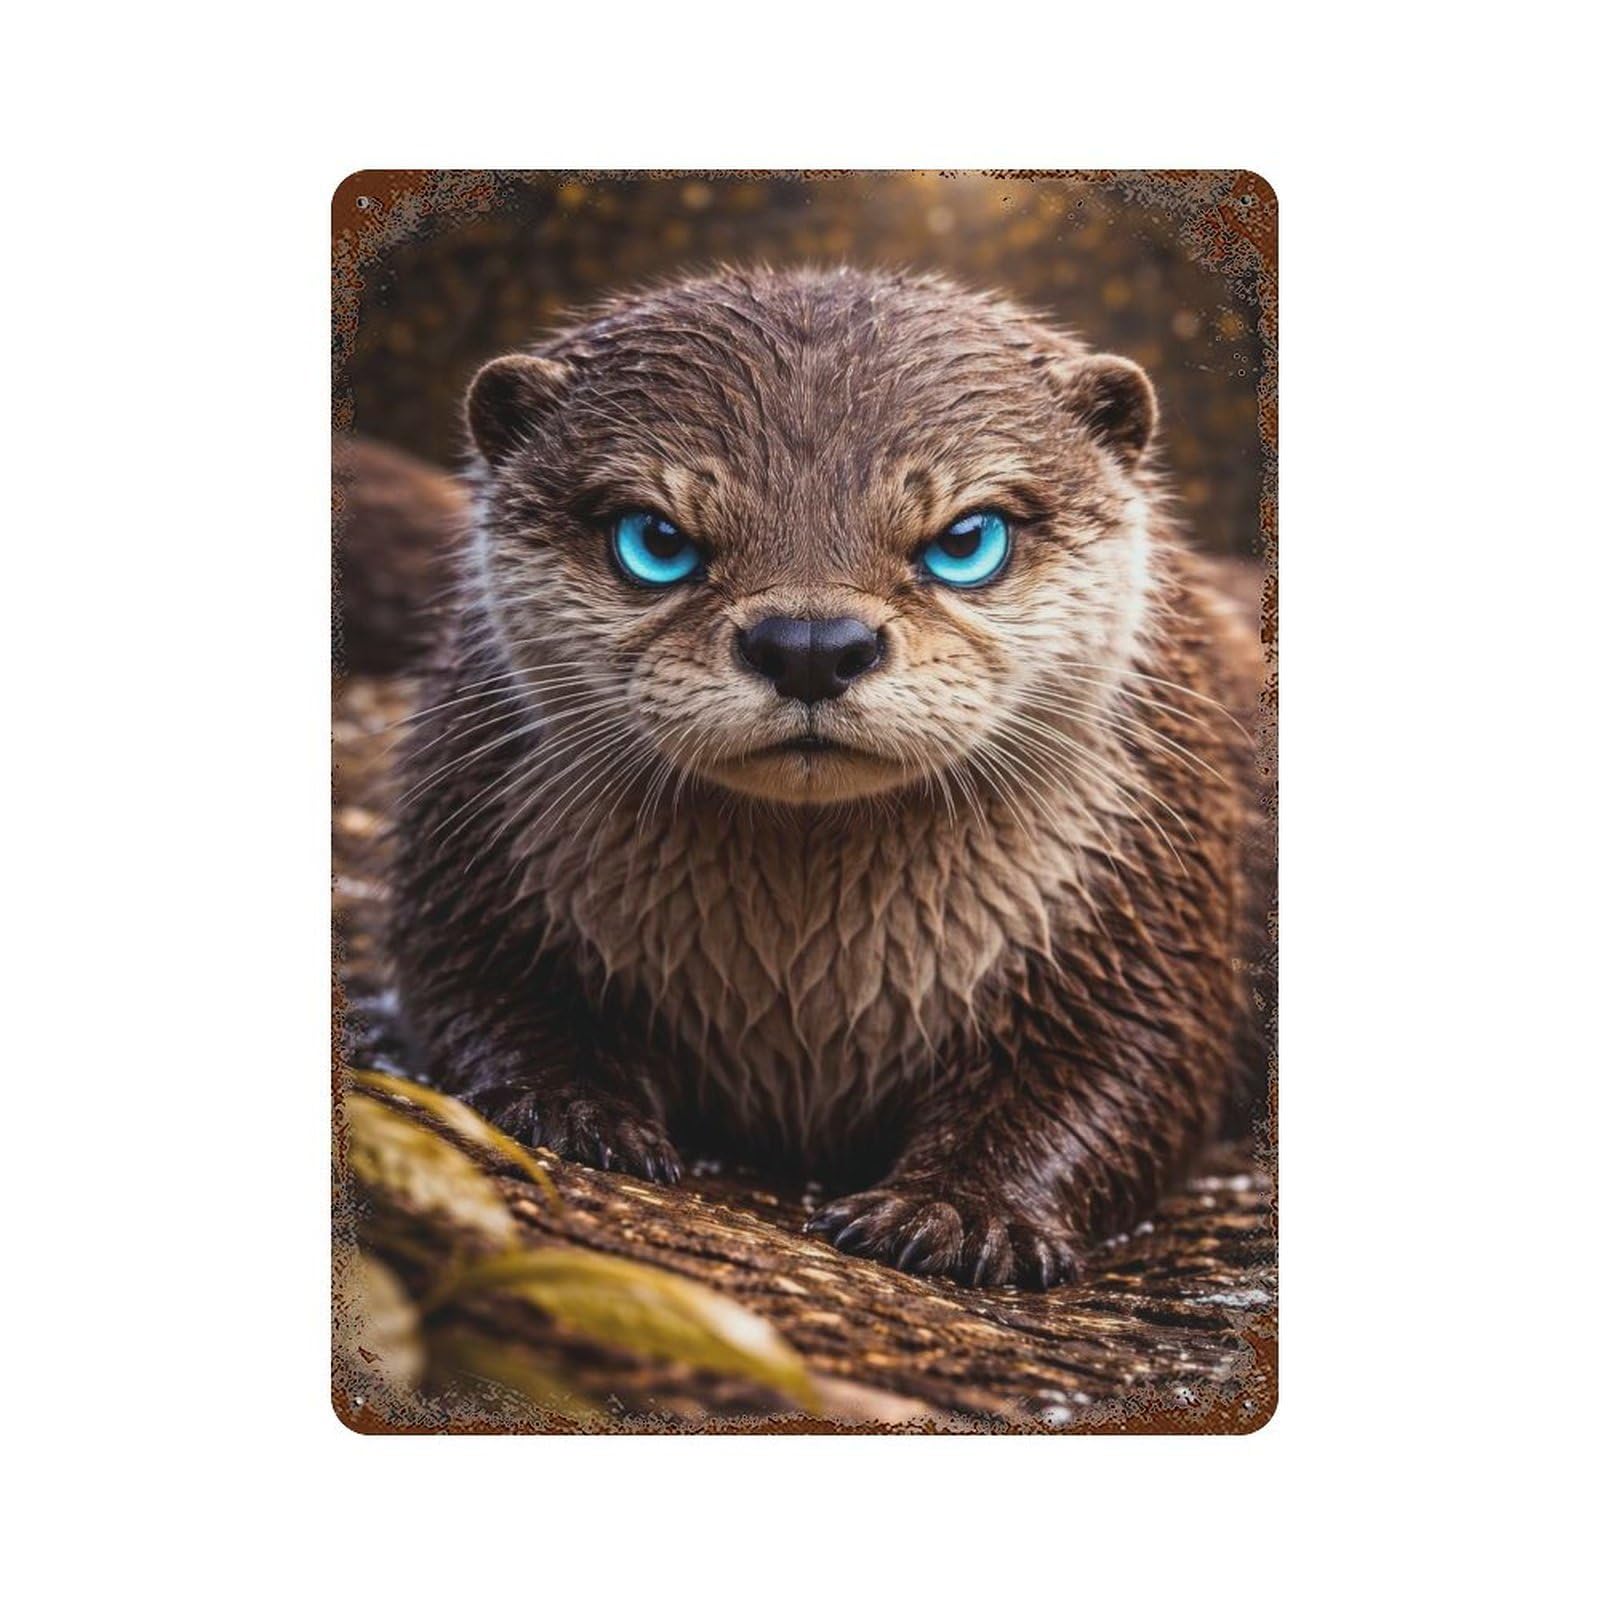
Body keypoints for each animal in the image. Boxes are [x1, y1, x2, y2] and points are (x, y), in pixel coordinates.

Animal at [388, 266, 1264, 1289]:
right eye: (655, 541)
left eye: (967, 540)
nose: (809, 645)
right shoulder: (476, 837)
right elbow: (468, 989)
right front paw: (566, 1108)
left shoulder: (1148, 884)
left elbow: (1134, 1064)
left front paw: (959, 1212)